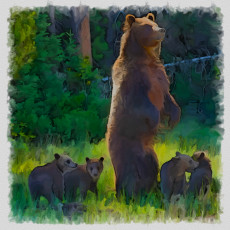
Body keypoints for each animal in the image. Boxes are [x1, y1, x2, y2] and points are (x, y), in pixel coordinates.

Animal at [107, 12, 181, 197]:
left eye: (154, 22)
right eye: (148, 26)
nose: (162, 30)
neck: (145, 57)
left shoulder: (159, 76)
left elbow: (168, 98)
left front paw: (174, 119)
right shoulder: (134, 81)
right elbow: (145, 106)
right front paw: (157, 122)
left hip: (149, 153)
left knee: (151, 166)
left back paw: (152, 188)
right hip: (127, 152)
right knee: (131, 174)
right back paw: (129, 193)